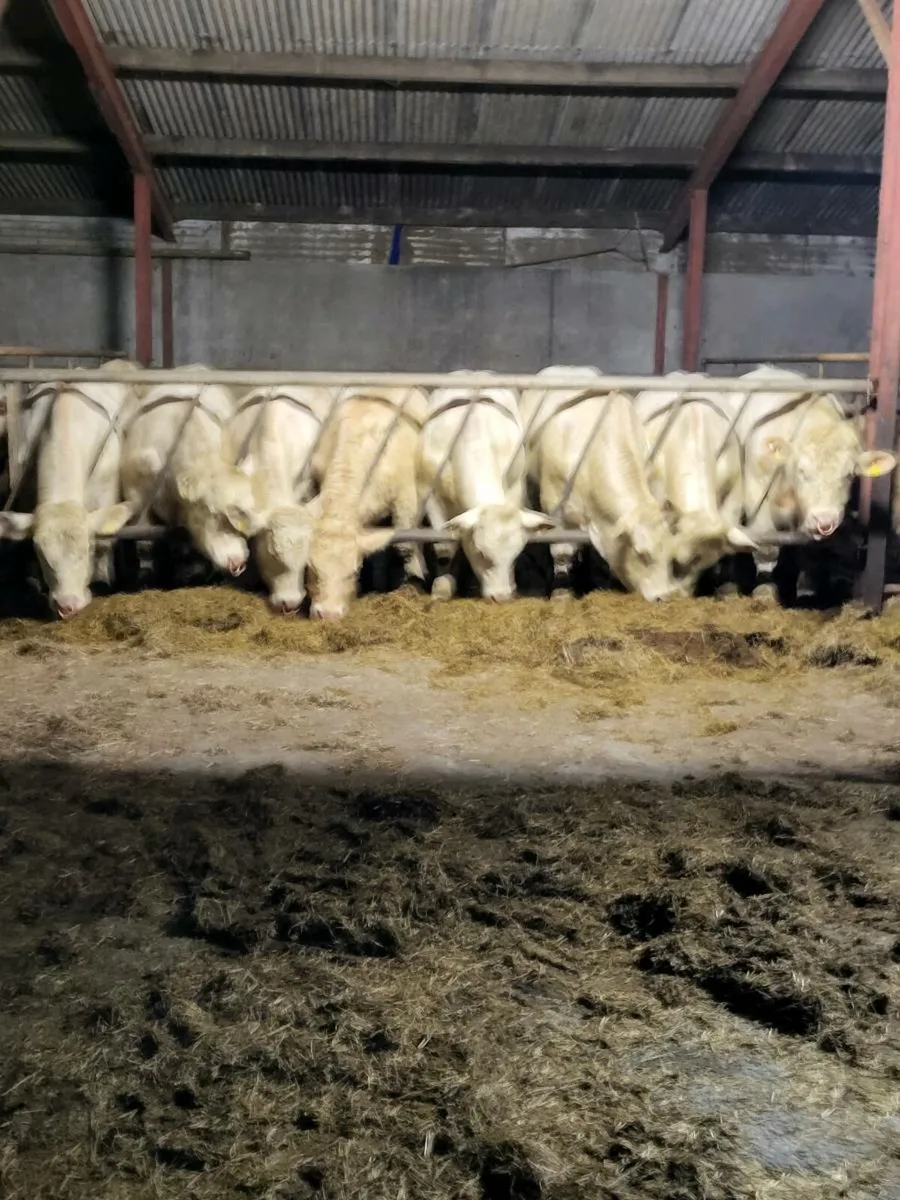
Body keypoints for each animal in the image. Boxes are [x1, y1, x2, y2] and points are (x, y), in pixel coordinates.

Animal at [0, 359, 138, 618]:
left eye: (86, 549)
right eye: (41, 553)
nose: (66, 605)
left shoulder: (106, 492)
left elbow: (106, 540)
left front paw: (102, 581)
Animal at [418, 372, 555, 602]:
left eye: (515, 556)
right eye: (481, 553)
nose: (501, 596)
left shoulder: (514, 490)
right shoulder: (433, 497)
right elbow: (445, 548)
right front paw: (442, 586)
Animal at [519, 366, 681, 602]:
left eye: (671, 554)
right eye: (641, 553)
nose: (664, 596)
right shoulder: (555, 506)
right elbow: (562, 553)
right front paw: (561, 592)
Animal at [723, 365, 896, 600]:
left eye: (849, 475)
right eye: (802, 471)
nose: (825, 521)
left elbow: (802, 549)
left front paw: (799, 587)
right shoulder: (756, 497)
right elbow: (767, 546)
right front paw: (765, 590)